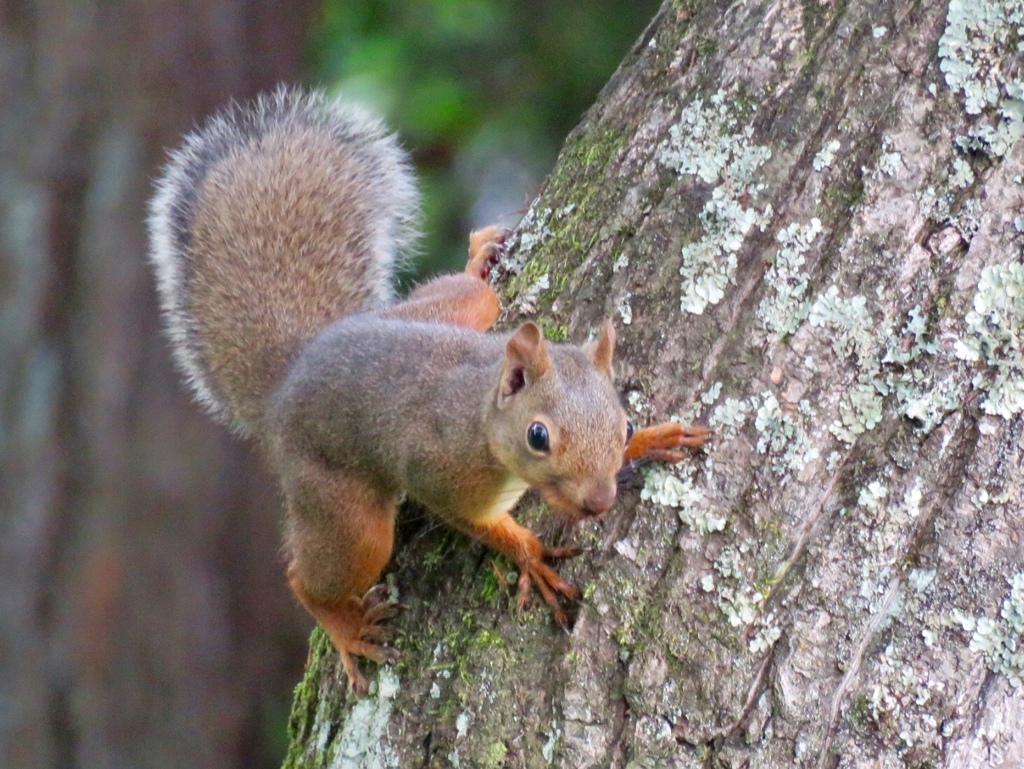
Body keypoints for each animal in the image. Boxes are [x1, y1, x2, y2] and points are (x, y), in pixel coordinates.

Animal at [148, 87, 712, 696]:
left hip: (457, 311)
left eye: (623, 423)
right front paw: (533, 557)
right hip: (340, 503)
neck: (483, 419)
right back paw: (345, 627)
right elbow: (485, 528)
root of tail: (293, 373)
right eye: (538, 436)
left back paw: (480, 256)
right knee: (310, 573)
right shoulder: (444, 481)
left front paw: (655, 439)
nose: (600, 502)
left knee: (473, 293)